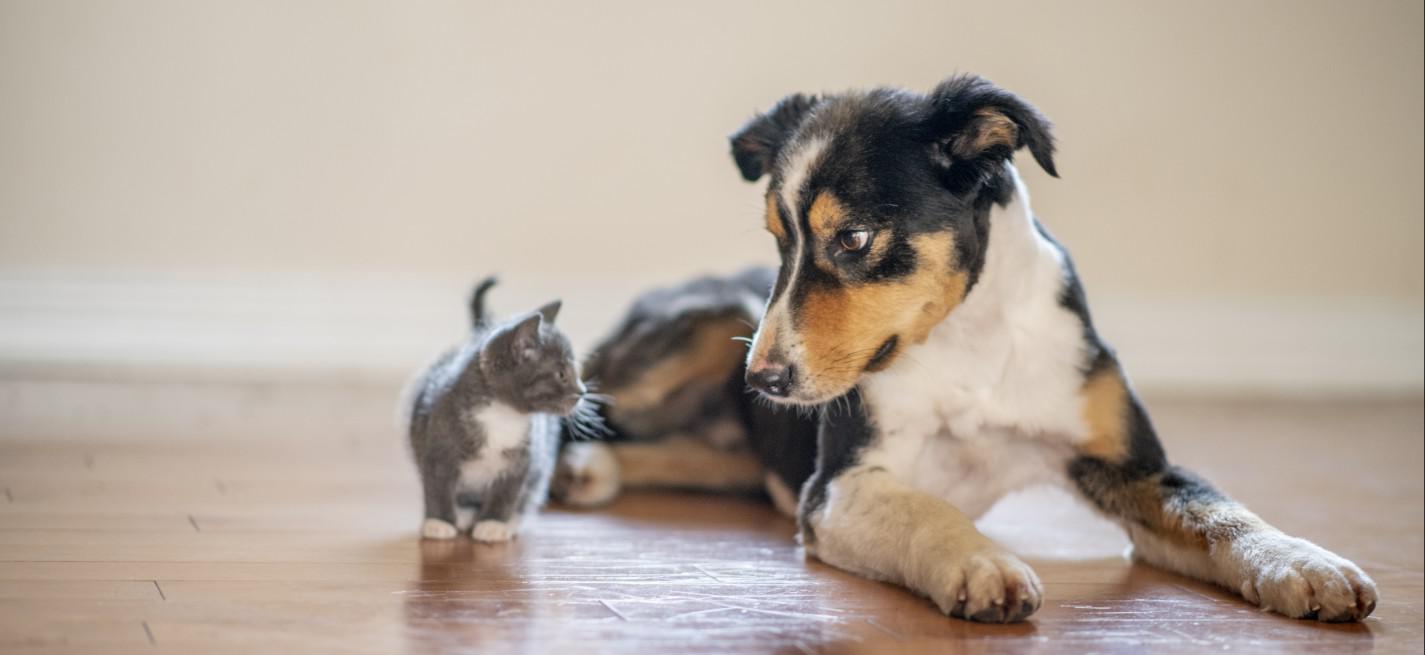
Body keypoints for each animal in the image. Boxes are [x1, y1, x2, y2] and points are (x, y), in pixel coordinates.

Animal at [407, 276, 584, 541]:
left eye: (575, 371)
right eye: (562, 374)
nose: (583, 392)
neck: (503, 415)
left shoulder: (523, 459)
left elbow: (506, 493)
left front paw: (493, 524)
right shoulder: (439, 446)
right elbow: (437, 486)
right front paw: (439, 522)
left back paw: (512, 521)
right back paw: (464, 514)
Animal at [558, 75, 1379, 623]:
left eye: (853, 237)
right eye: (778, 240)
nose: (761, 379)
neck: (970, 342)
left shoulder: (1132, 464)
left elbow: (1221, 513)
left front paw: (1305, 564)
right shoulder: (838, 486)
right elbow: (926, 509)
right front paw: (981, 562)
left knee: (706, 458)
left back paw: (589, 472)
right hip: (688, 340)